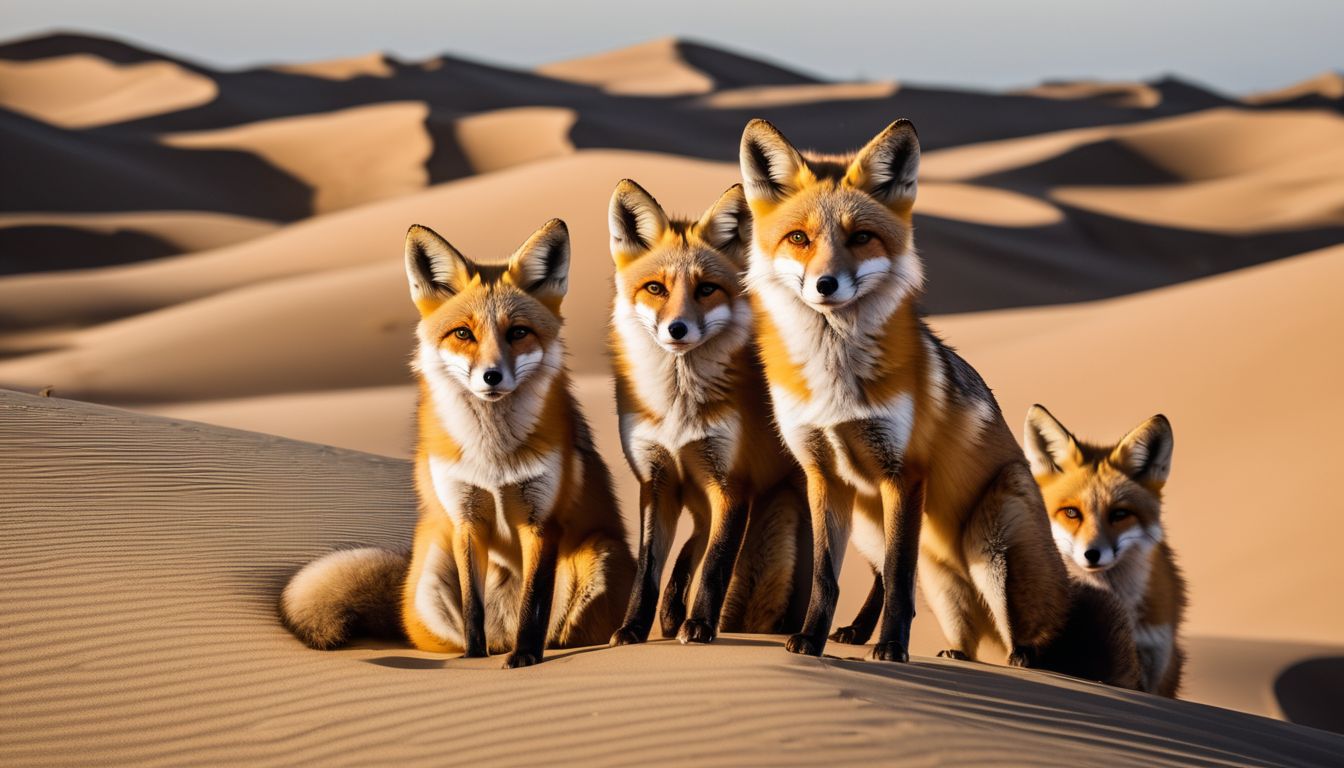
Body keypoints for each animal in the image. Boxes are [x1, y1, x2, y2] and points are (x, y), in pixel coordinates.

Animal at [279, 217, 634, 667]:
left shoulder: (542, 521)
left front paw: (525, 657)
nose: (491, 376)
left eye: (518, 333)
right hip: (432, 560)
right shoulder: (466, 518)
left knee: (562, 633)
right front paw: (473, 659)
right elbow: (472, 606)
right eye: (463, 333)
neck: (493, 458)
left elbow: (534, 604)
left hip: (600, 555)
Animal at [607, 180, 806, 648]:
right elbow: (648, 570)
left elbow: (717, 563)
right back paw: (670, 615)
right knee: (691, 546)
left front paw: (699, 625)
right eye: (656, 289)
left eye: (706, 289)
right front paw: (633, 628)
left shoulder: (732, 483)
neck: (678, 412)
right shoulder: (657, 481)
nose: (676, 329)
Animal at [741, 114, 1139, 685]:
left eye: (861, 238)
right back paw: (861, 633)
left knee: (1029, 634)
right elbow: (826, 578)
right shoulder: (823, 473)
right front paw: (812, 641)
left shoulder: (905, 473)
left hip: (990, 538)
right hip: (870, 520)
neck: (835, 383)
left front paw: (893, 649)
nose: (825, 284)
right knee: (882, 575)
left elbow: (901, 579)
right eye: (799, 238)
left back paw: (1020, 659)